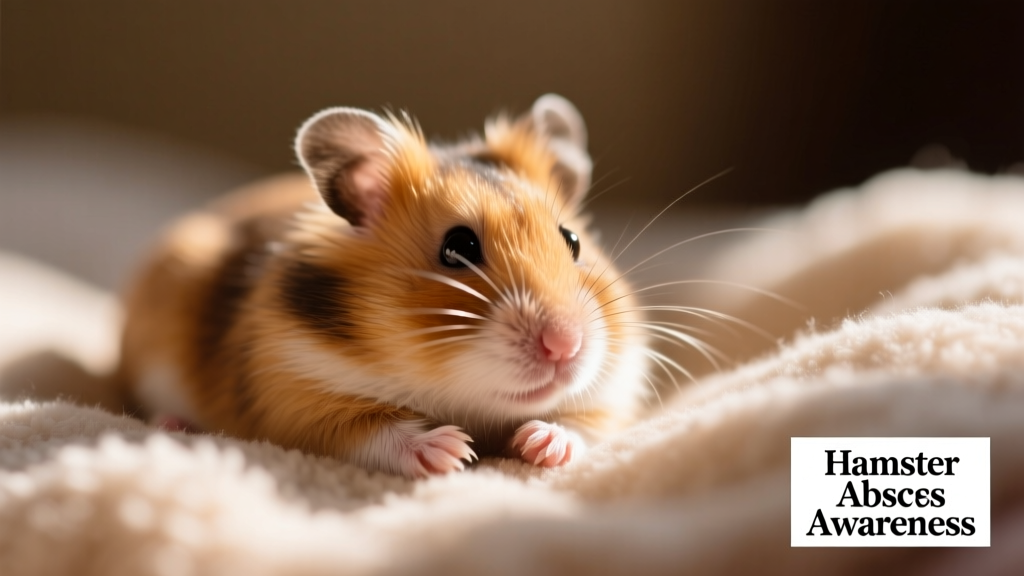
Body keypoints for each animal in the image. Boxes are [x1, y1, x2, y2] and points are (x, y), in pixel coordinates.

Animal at [117, 94, 647, 478]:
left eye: (572, 240)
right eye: (457, 248)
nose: (565, 345)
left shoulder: (613, 389)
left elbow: (584, 424)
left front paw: (539, 444)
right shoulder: (289, 389)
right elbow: (370, 430)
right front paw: (453, 451)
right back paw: (175, 425)